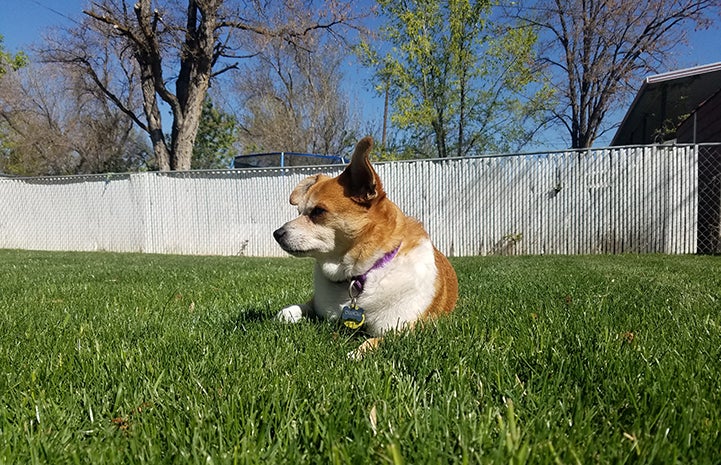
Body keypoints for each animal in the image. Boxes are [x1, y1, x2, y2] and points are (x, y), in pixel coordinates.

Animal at [272, 136, 458, 358]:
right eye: (299, 211)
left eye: (318, 211)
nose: (276, 233)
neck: (361, 274)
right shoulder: (317, 305)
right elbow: (291, 310)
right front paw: (283, 314)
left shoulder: (403, 331)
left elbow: (371, 343)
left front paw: (354, 354)